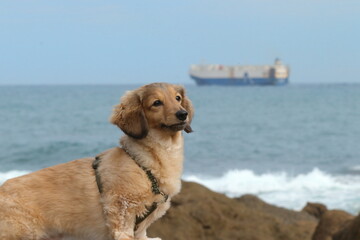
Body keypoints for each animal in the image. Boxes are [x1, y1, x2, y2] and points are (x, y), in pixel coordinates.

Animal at [0, 83, 194, 240]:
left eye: (177, 98)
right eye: (156, 103)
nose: (182, 114)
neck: (144, 163)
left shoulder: (140, 229)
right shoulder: (122, 216)